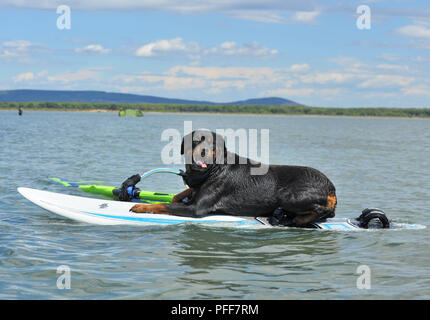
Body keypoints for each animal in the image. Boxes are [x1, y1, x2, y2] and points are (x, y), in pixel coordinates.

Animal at [129, 129, 338, 226]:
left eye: (213, 144)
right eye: (195, 141)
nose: (203, 151)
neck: (212, 170)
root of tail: (331, 190)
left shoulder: (197, 209)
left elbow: (163, 205)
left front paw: (141, 207)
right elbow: (181, 193)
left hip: (289, 196)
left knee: (324, 211)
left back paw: (294, 218)